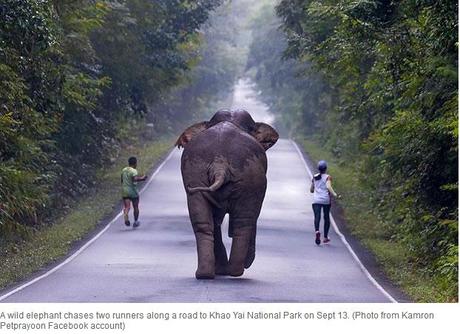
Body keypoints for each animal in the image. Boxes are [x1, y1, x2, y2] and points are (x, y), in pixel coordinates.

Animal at [175, 109, 276, 280]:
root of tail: (219, 163)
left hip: (195, 174)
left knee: (204, 221)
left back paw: (205, 274)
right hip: (251, 176)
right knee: (244, 221)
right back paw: (236, 270)